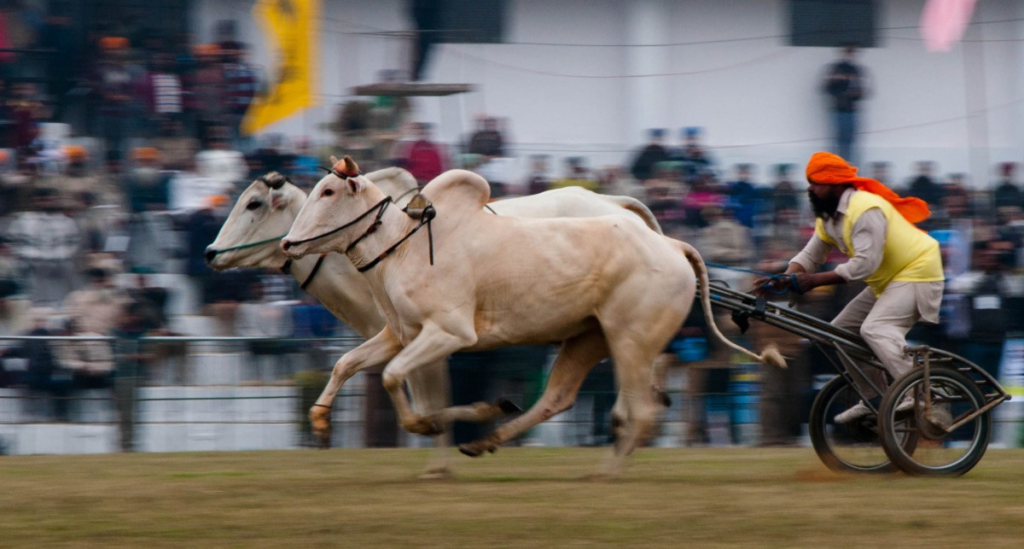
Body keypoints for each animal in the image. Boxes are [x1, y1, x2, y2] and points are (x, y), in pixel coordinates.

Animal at [206, 162, 667, 475]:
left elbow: (427, 399)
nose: (210, 252)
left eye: (253, 203)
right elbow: (352, 367)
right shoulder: (396, 336)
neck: (388, 245)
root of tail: (618, 204)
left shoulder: (432, 340)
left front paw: (439, 461)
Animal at [280, 156, 782, 477]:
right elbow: (347, 364)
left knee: (635, 413)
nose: (286, 244)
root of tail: (674, 246)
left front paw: (434, 423)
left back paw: (603, 473)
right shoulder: (401, 333)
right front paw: (320, 420)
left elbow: (393, 381)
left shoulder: (449, 333)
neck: (403, 245)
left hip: (632, 342)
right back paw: (486, 439)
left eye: (328, 191)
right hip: (590, 339)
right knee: (557, 399)